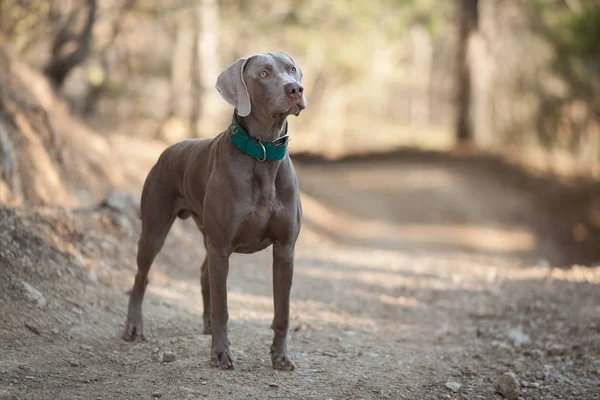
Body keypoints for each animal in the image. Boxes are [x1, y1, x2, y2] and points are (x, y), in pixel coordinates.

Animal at [123, 51, 308, 370]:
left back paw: (206, 324)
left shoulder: (285, 249)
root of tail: (168, 149)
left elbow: (282, 312)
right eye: (263, 74)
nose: (295, 89)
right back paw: (134, 327)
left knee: (202, 273)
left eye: (292, 69)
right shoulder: (221, 246)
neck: (262, 153)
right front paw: (221, 354)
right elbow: (223, 308)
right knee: (141, 276)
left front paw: (281, 356)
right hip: (155, 228)